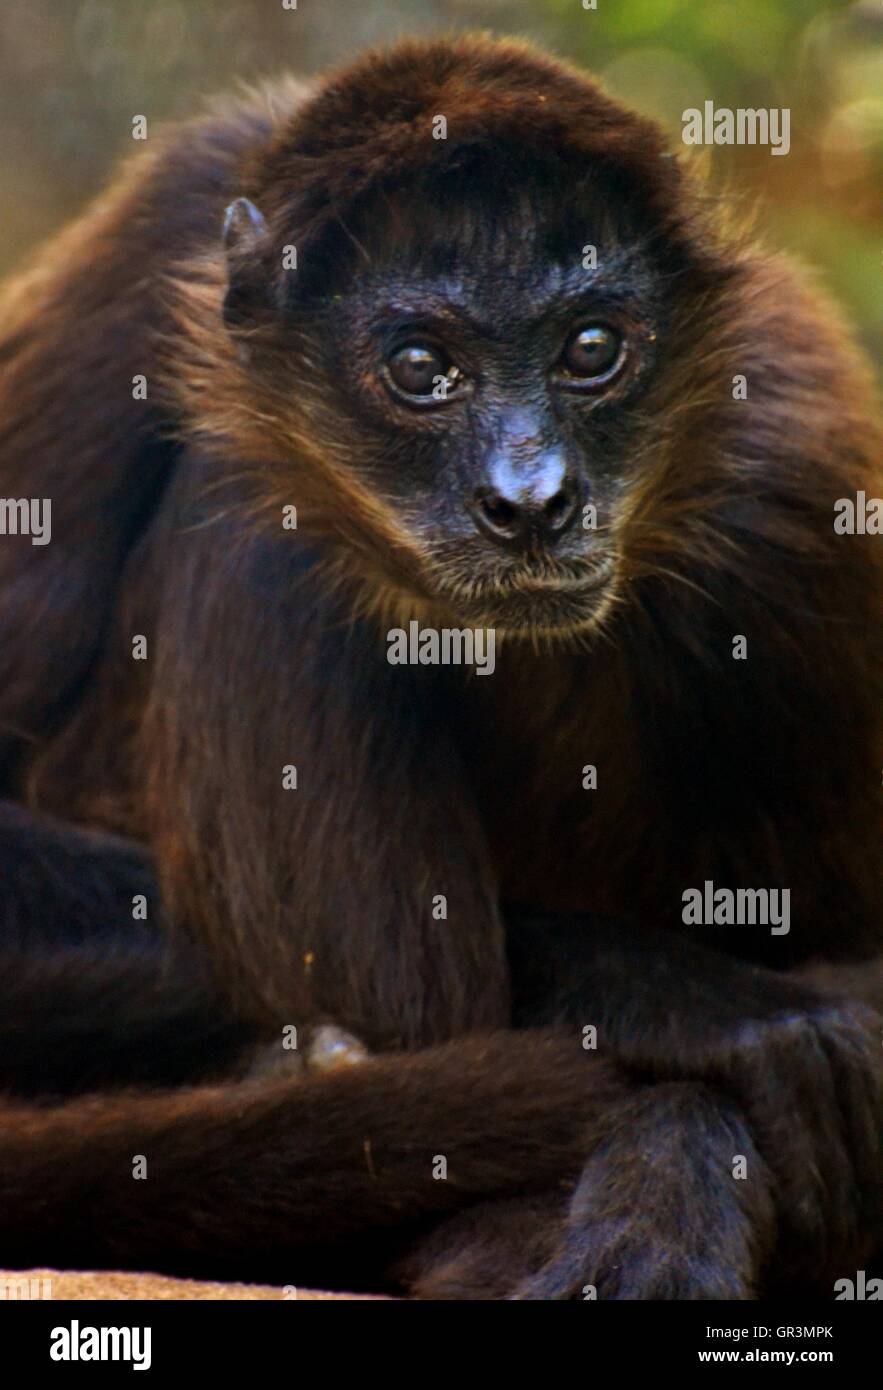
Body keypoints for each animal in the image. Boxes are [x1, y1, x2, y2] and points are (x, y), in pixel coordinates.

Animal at [0, 38, 878, 1295]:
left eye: (591, 350)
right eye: (421, 368)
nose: (531, 499)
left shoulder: (805, 476)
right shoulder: (162, 226)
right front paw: (692, 1007)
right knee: (261, 516)